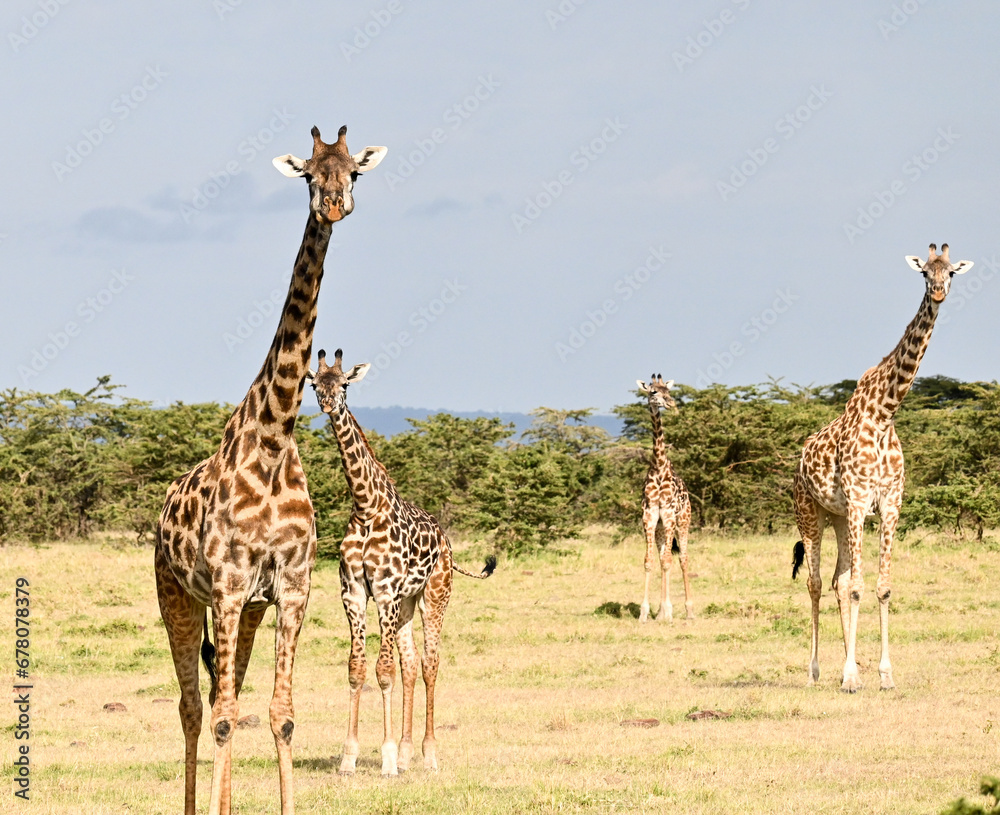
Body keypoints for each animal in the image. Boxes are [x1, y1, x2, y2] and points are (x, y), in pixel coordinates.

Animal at [154, 126, 386, 815]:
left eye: (353, 172)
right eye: (309, 172)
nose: (334, 205)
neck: (275, 436)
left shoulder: (290, 585)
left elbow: (280, 714)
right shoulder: (228, 584)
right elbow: (226, 715)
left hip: (247, 610)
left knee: (220, 694)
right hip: (176, 594)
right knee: (195, 707)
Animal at [306, 348, 496, 778]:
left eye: (344, 384)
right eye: (315, 384)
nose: (328, 403)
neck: (365, 505)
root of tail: (446, 540)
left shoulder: (385, 592)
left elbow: (383, 671)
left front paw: (388, 758)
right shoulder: (354, 593)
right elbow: (358, 669)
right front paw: (349, 758)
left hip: (434, 596)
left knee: (429, 664)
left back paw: (428, 755)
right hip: (408, 603)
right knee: (411, 664)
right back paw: (410, 753)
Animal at [792, 243, 973, 693]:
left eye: (951, 273)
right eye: (924, 272)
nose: (938, 292)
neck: (885, 412)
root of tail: (799, 460)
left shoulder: (890, 505)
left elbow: (881, 588)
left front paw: (882, 674)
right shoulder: (860, 502)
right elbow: (859, 587)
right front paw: (852, 676)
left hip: (839, 517)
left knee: (837, 582)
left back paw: (846, 662)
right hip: (811, 512)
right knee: (817, 582)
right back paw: (816, 671)